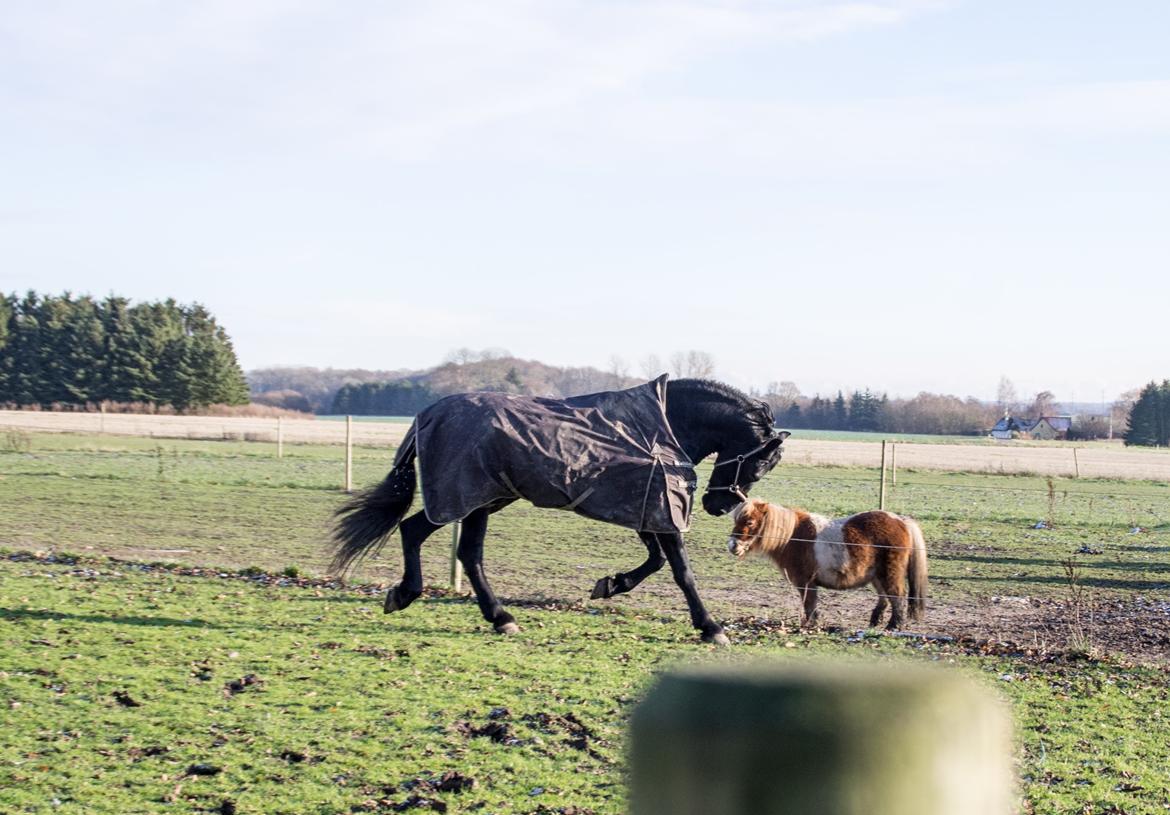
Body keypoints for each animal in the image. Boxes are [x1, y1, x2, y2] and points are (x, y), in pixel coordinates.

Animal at [329, 378, 786, 645]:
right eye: (760, 464)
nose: (717, 505)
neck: (663, 426)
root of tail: (428, 414)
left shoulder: (643, 507)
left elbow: (656, 561)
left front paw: (611, 584)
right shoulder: (659, 509)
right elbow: (681, 570)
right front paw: (711, 627)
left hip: (482, 501)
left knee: (455, 549)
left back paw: (483, 613)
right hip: (470, 497)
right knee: (428, 537)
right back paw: (449, 604)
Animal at [725, 495, 926, 631]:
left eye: (749, 522)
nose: (732, 545)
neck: (792, 536)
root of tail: (901, 521)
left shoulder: (806, 582)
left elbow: (809, 604)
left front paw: (810, 624)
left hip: (890, 573)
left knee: (897, 596)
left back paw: (894, 626)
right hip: (877, 575)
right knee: (884, 597)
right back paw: (875, 622)